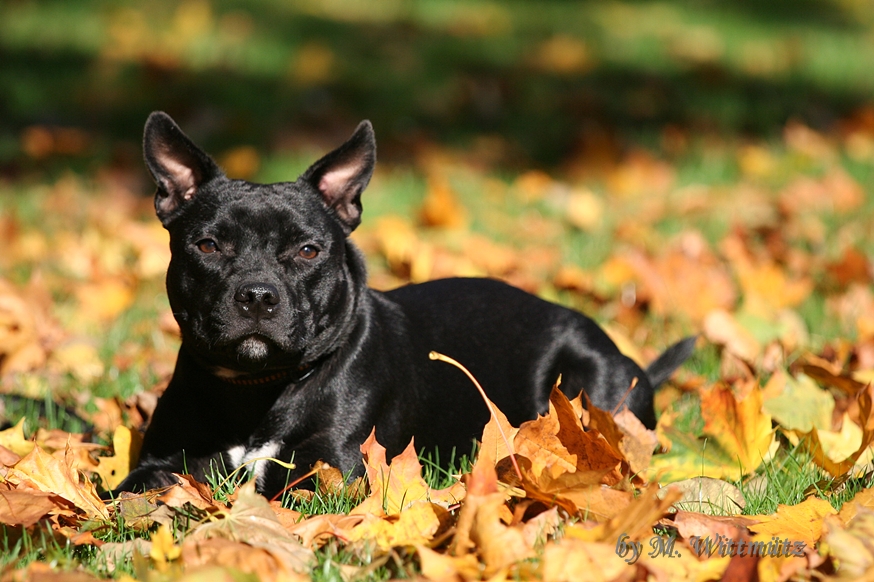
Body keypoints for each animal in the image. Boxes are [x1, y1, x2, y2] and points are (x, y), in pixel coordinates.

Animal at [114, 113, 696, 498]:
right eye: (208, 245)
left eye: (307, 250)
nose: (257, 295)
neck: (255, 389)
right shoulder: (161, 462)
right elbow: (130, 494)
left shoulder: (335, 470)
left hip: (595, 387)